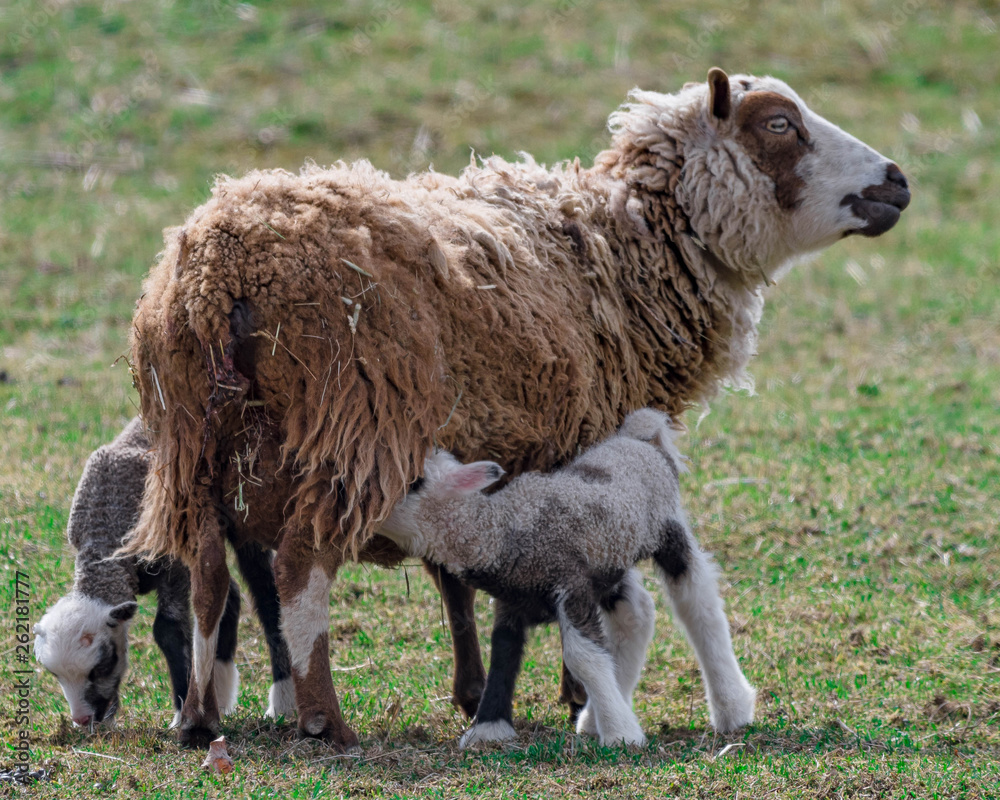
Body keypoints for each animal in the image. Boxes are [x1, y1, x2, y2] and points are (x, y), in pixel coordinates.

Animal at [32, 422, 296, 728]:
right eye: (55, 675)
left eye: (103, 665)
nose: (84, 719)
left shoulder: (173, 565)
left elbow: (167, 629)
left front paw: (181, 714)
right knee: (228, 595)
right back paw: (218, 691)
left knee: (265, 592)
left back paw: (282, 700)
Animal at [378, 410, 752, 748]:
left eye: (412, 481)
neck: (502, 533)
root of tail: (638, 435)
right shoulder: (514, 601)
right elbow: (503, 650)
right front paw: (488, 728)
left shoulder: (571, 585)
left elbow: (581, 656)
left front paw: (621, 734)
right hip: (609, 558)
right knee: (635, 615)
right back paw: (595, 717)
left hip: (667, 529)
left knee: (695, 600)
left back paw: (731, 707)